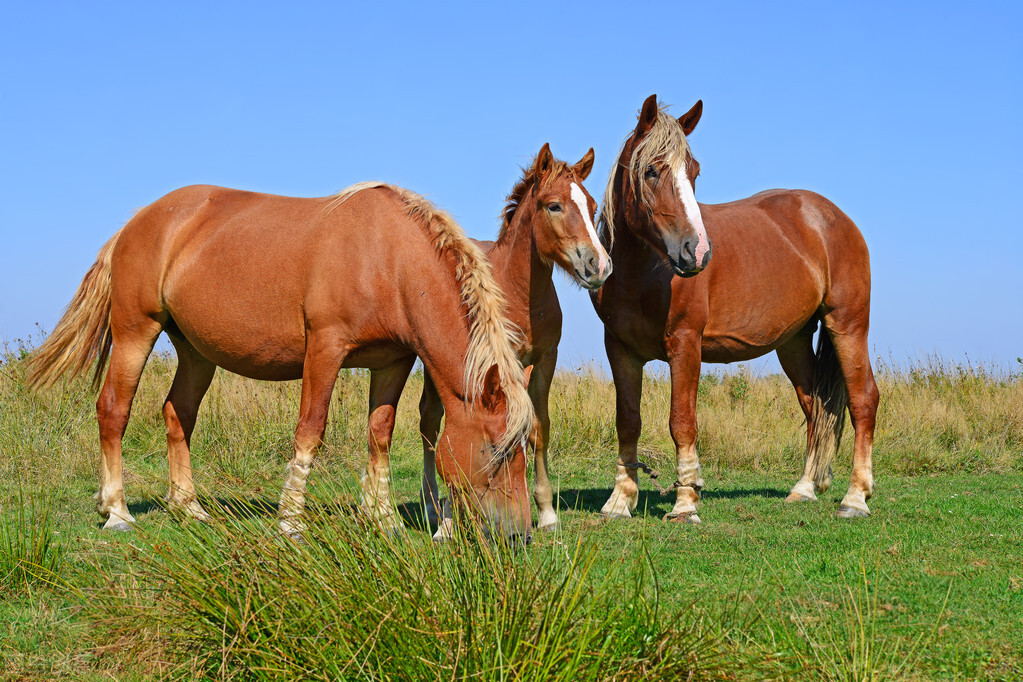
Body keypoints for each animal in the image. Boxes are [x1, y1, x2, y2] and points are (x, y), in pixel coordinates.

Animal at [24, 179, 536, 539]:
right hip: (136, 331)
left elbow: (381, 435)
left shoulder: (393, 362)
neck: (387, 259)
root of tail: (136, 223)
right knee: (113, 410)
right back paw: (117, 511)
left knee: (178, 414)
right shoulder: (325, 350)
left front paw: (381, 519)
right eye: (496, 449)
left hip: (195, 351)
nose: (521, 533)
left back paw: (188, 507)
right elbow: (310, 430)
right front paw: (291, 521)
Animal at [417, 145, 609, 539]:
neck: (520, 296)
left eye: (593, 206)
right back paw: (436, 512)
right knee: (430, 424)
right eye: (554, 205)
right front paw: (449, 517)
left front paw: (547, 512)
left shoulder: (544, 359)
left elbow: (538, 426)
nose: (598, 265)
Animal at [593, 94, 879, 523]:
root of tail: (833, 218)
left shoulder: (685, 345)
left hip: (847, 325)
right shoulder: (620, 350)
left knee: (863, 401)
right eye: (651, 171)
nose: (697, 252)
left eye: (694, 171)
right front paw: (619, 501)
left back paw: (856, 497)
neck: (643, 272)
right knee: (815, 407)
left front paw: (685, 503)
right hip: (794, 342)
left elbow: (682, 422)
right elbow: (627, 422)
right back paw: (804, 488)